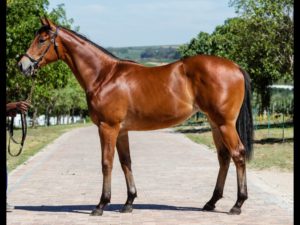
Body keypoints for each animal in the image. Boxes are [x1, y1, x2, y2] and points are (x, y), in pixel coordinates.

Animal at [18, 18, 253, 215]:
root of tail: (235, 66)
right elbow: (126, 162)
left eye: (41, 40)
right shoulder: (121, 130)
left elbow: (106, 163)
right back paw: (211, 202)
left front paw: (101, 204)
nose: (22, 65)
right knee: (223, 158)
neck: (104, 76)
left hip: (225, 124)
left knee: (238, 155)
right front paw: (129, 202)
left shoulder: (108, 127)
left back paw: (237, 204)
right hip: (215, 124)